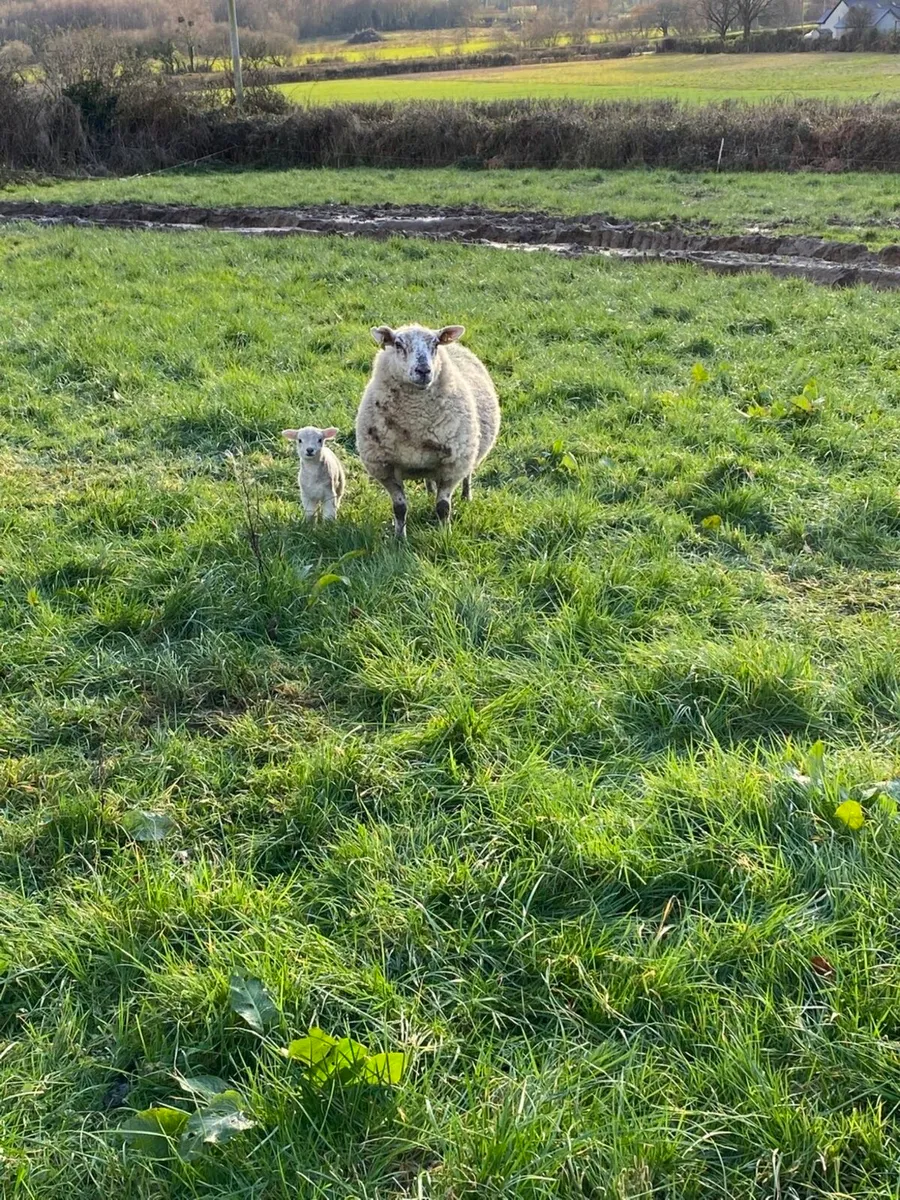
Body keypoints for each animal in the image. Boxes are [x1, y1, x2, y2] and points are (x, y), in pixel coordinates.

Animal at [355, 323, 500, 538]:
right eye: (398, 344)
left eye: (436, 344)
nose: (423, 370)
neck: (415, 421)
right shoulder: (385, 468)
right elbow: (400, 508)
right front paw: (399, 539)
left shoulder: (452, 465)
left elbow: (443, 508)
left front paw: (444, 534)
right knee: (429, 479)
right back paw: (430, 491)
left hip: (468, 450)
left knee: (467, 475)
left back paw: (466, 496)